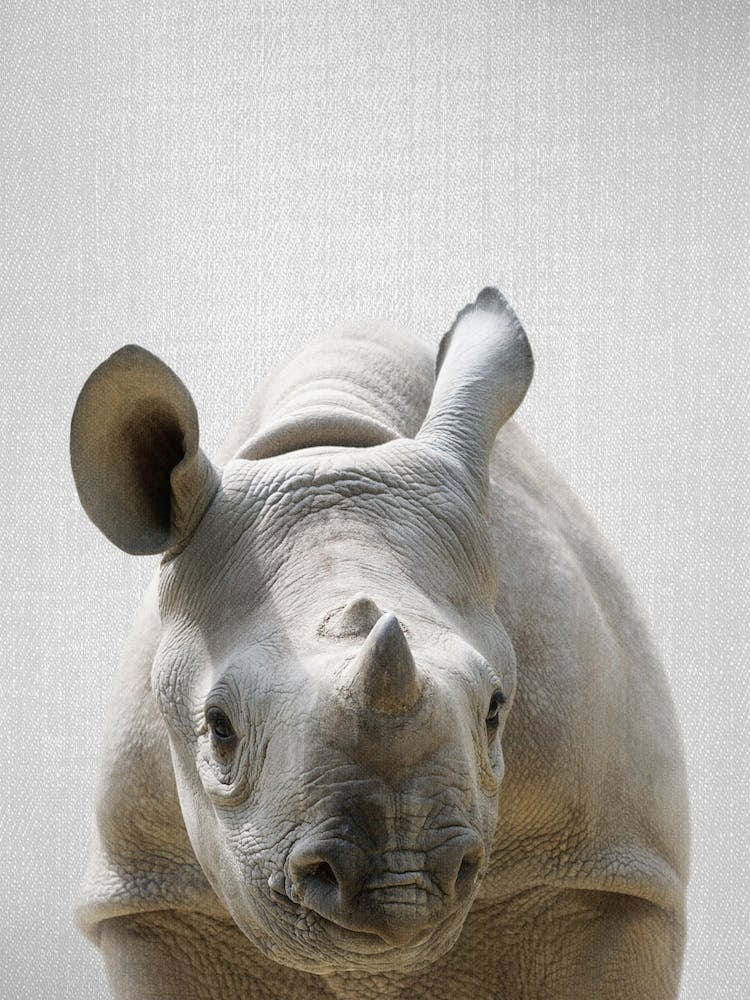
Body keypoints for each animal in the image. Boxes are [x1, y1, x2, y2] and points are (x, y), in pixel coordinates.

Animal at [70, 288, 689, 999]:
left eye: (496, 710)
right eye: (218, 727)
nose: (401, 881)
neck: (327, 445)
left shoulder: (608, 871)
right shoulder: (154, 894)